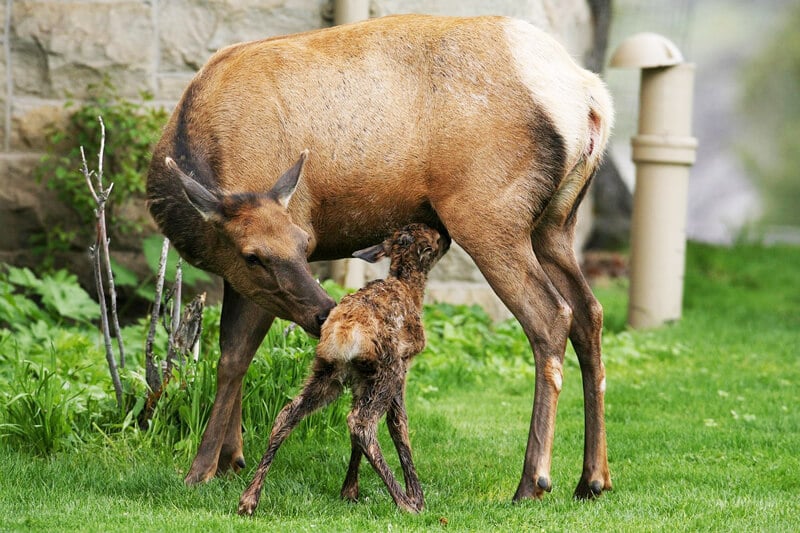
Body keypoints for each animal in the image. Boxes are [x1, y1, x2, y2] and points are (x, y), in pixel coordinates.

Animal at [238, 222, 450, 512]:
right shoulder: (404, 364)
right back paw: (405, 503)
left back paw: (249, 499)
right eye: (435, 237)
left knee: (288, 414)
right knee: (361, 422)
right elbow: (399, 424)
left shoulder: (360, 380)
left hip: (327, 372)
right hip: (386, 370)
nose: (448, 237)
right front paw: (417, 496)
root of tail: (343, 332)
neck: (410, 289)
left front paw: (349, 491)